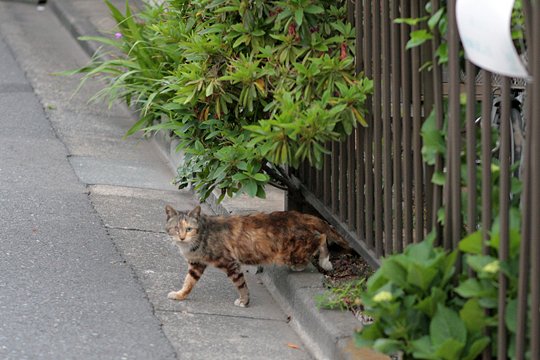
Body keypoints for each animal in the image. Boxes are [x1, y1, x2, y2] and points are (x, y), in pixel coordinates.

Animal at [166, 205, 350, 306]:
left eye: (189, 228)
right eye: (175, 228)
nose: (182, 237)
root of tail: (298, 215)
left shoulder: (230, 262)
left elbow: (240, 283)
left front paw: (244, 301)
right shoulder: (197, 264)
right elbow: (189, 281)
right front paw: (180, 295)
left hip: (291, 252)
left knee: (321, 237)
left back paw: (323, 261)